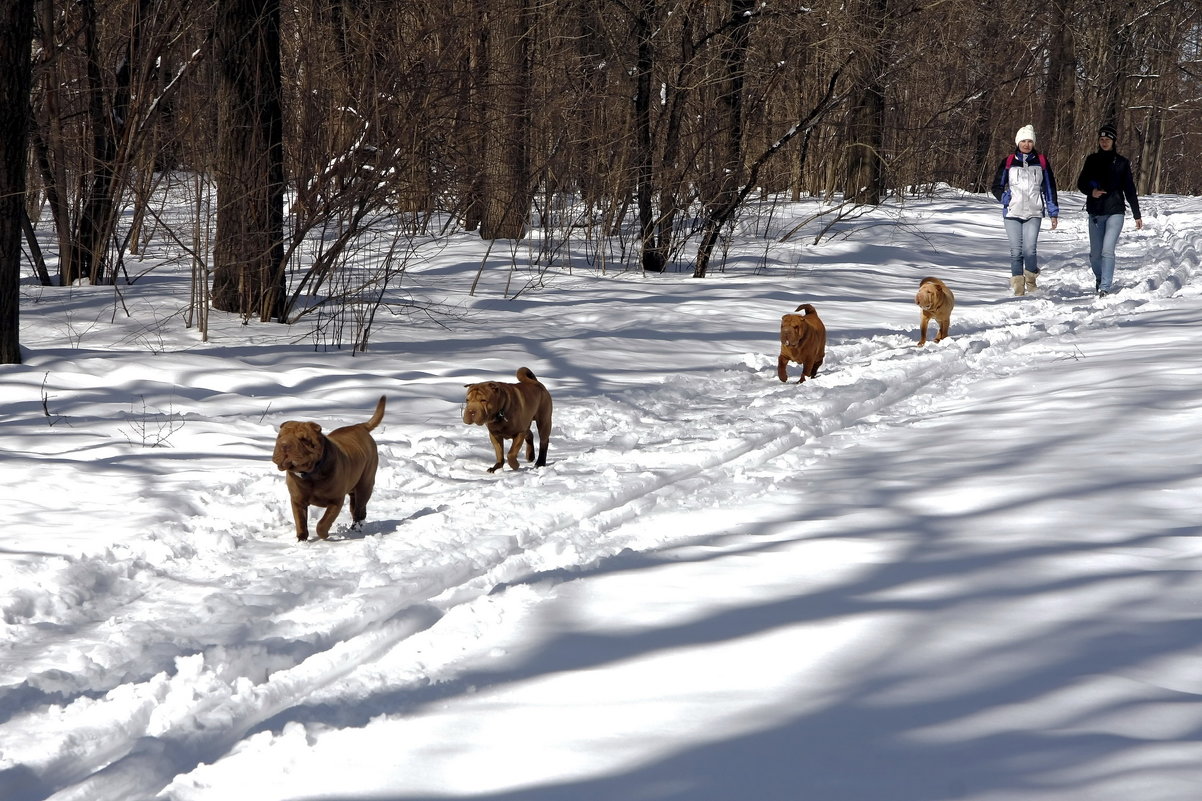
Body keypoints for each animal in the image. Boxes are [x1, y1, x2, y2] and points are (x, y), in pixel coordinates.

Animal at [271, 394, 384, 538]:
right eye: (279, 437)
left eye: (304, 439)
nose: (284, 444)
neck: (310, 475)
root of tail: (360, 426)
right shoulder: (297, 501)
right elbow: (300, 522)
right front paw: (301, 538)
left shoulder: (336, 500)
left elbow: (323, 522)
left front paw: (324, 535)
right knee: (355, 508)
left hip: (365, 485)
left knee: (359, 510)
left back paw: (356, 529)